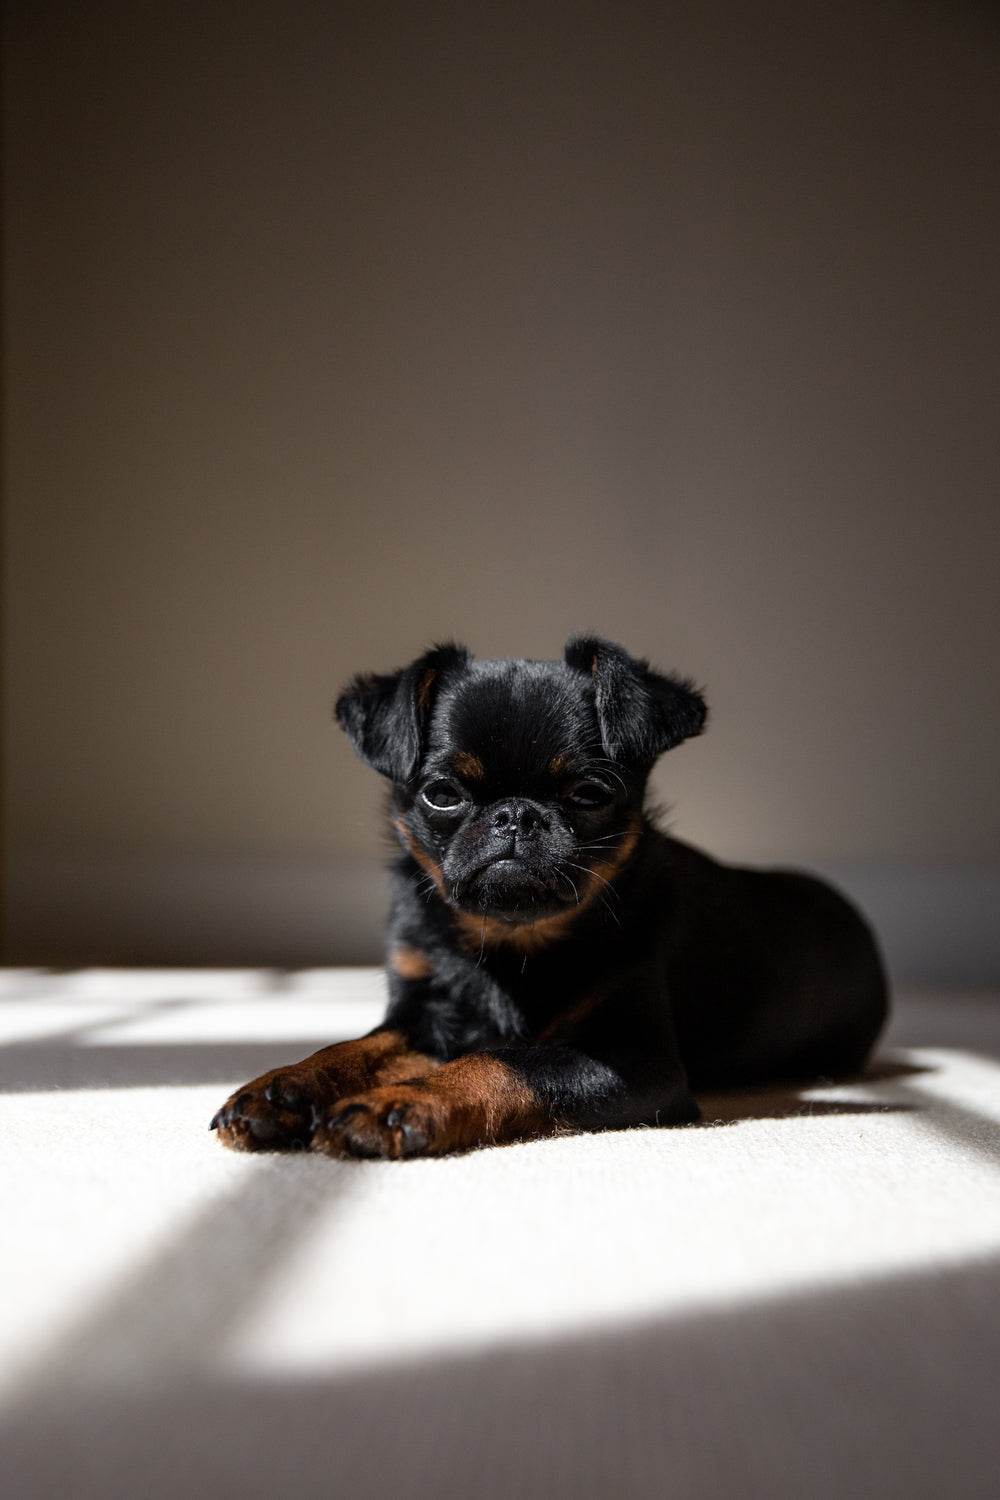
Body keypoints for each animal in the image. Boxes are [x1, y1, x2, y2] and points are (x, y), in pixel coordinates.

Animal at [215, 633, 887, 1158]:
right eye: (441, 794)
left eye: (589, 794)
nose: (515, 815)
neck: (512, 943)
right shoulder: (424, 1012)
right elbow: (361, 1046)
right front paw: (286, 1086)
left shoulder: (634, 1061)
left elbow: (504, 1063)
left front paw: (398, 1103)